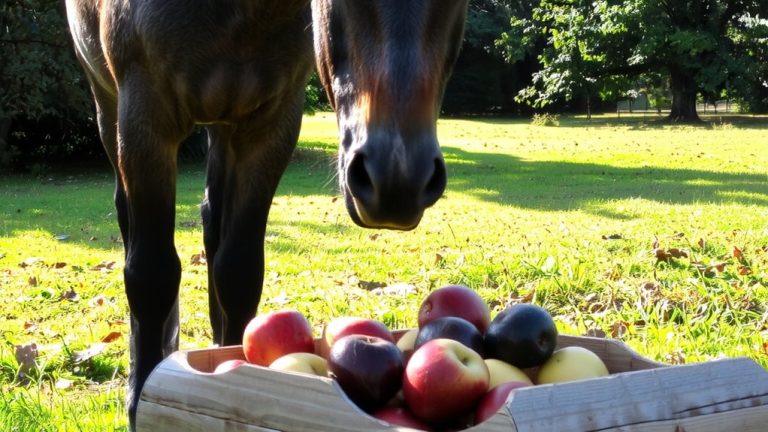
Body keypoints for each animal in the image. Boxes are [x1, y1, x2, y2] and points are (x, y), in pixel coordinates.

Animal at [64, 0, 469, 428]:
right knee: (131, 224)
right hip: (109, 107)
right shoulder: (145, 119)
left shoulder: (271, 127)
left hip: (224, 126)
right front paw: (140, 398)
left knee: (213, 222)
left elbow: (238, 273)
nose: (397, 181)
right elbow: (150, 276)